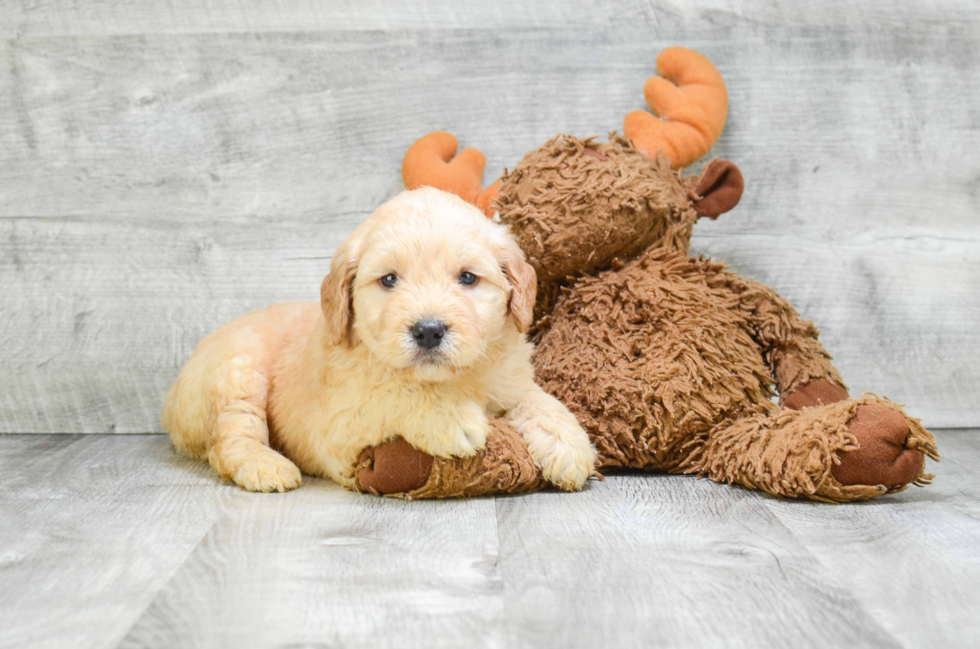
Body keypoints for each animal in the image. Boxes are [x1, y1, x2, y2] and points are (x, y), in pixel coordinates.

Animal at [161, 186, 592, 492]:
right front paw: (452, 416)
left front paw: (568, 443)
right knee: (230, 437)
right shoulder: (339, 429)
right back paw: (265, 466)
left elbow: (537, 399)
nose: (428, 330)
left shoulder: (508, 379)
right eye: (388, 280)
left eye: (468, 277)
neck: (451, 379)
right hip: (238, 369)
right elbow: (392, 393)